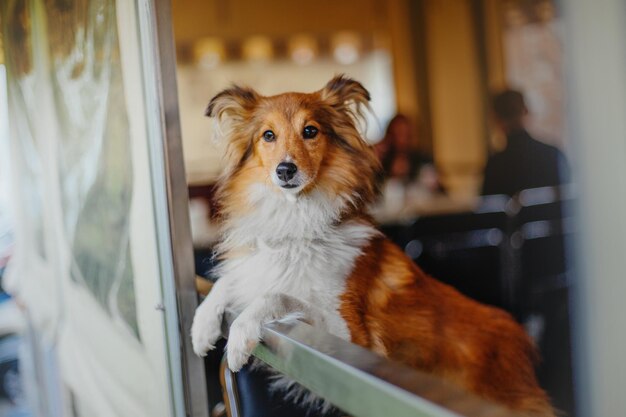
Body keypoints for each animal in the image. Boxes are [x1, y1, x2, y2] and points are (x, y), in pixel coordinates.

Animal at [189, 75, 552, 416]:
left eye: (310, 131)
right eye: (268, 135)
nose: (285, 170)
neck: (297, 224)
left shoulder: (350, 337)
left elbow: (278, 294)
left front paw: (239, 334)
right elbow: (229, 281)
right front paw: (201, 326)